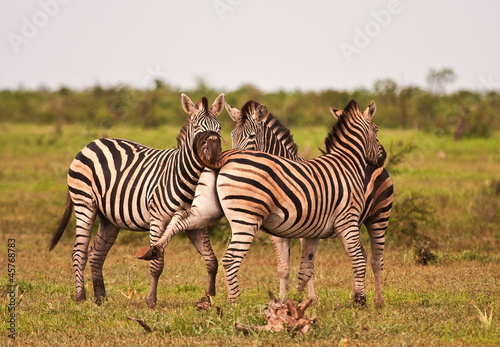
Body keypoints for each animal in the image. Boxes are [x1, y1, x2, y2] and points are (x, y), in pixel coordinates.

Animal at [48, 93, 225, 310]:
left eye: (219, 128)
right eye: (197, 127)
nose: (214, 153)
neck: (183, 176)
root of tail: (92, 144)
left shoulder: (195, 223)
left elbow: (211, 260)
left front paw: (208, 299)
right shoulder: (158, 218)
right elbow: (157, 263)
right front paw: (151, 302)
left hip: (109, 217)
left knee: (96, 253)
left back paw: (101, 299)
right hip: (84, 204)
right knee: (79, 252)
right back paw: (81, 297)